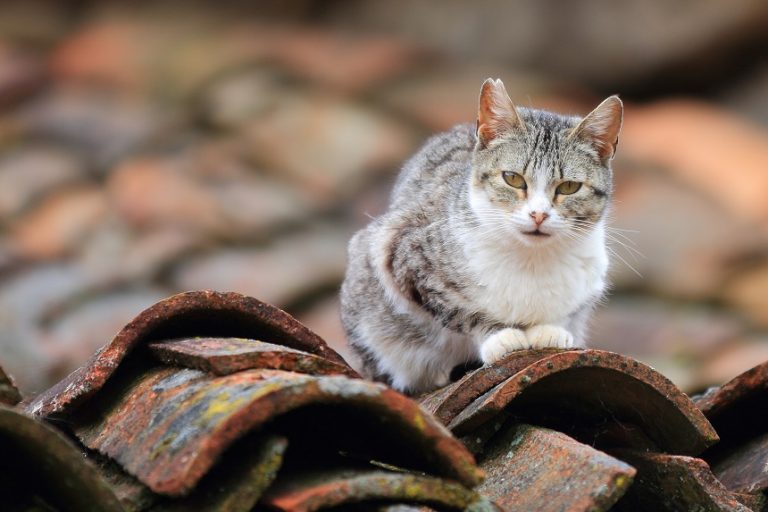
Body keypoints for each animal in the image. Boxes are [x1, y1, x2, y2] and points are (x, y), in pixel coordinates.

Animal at [342, 78, 624, 394]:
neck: (531, 259)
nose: (538, 215)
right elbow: (459, 310)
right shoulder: (403, 255)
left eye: (569, 187)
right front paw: (499, 336)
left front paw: (550, 330)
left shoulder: (590, 279)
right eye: (512, 178)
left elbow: (568, 311)